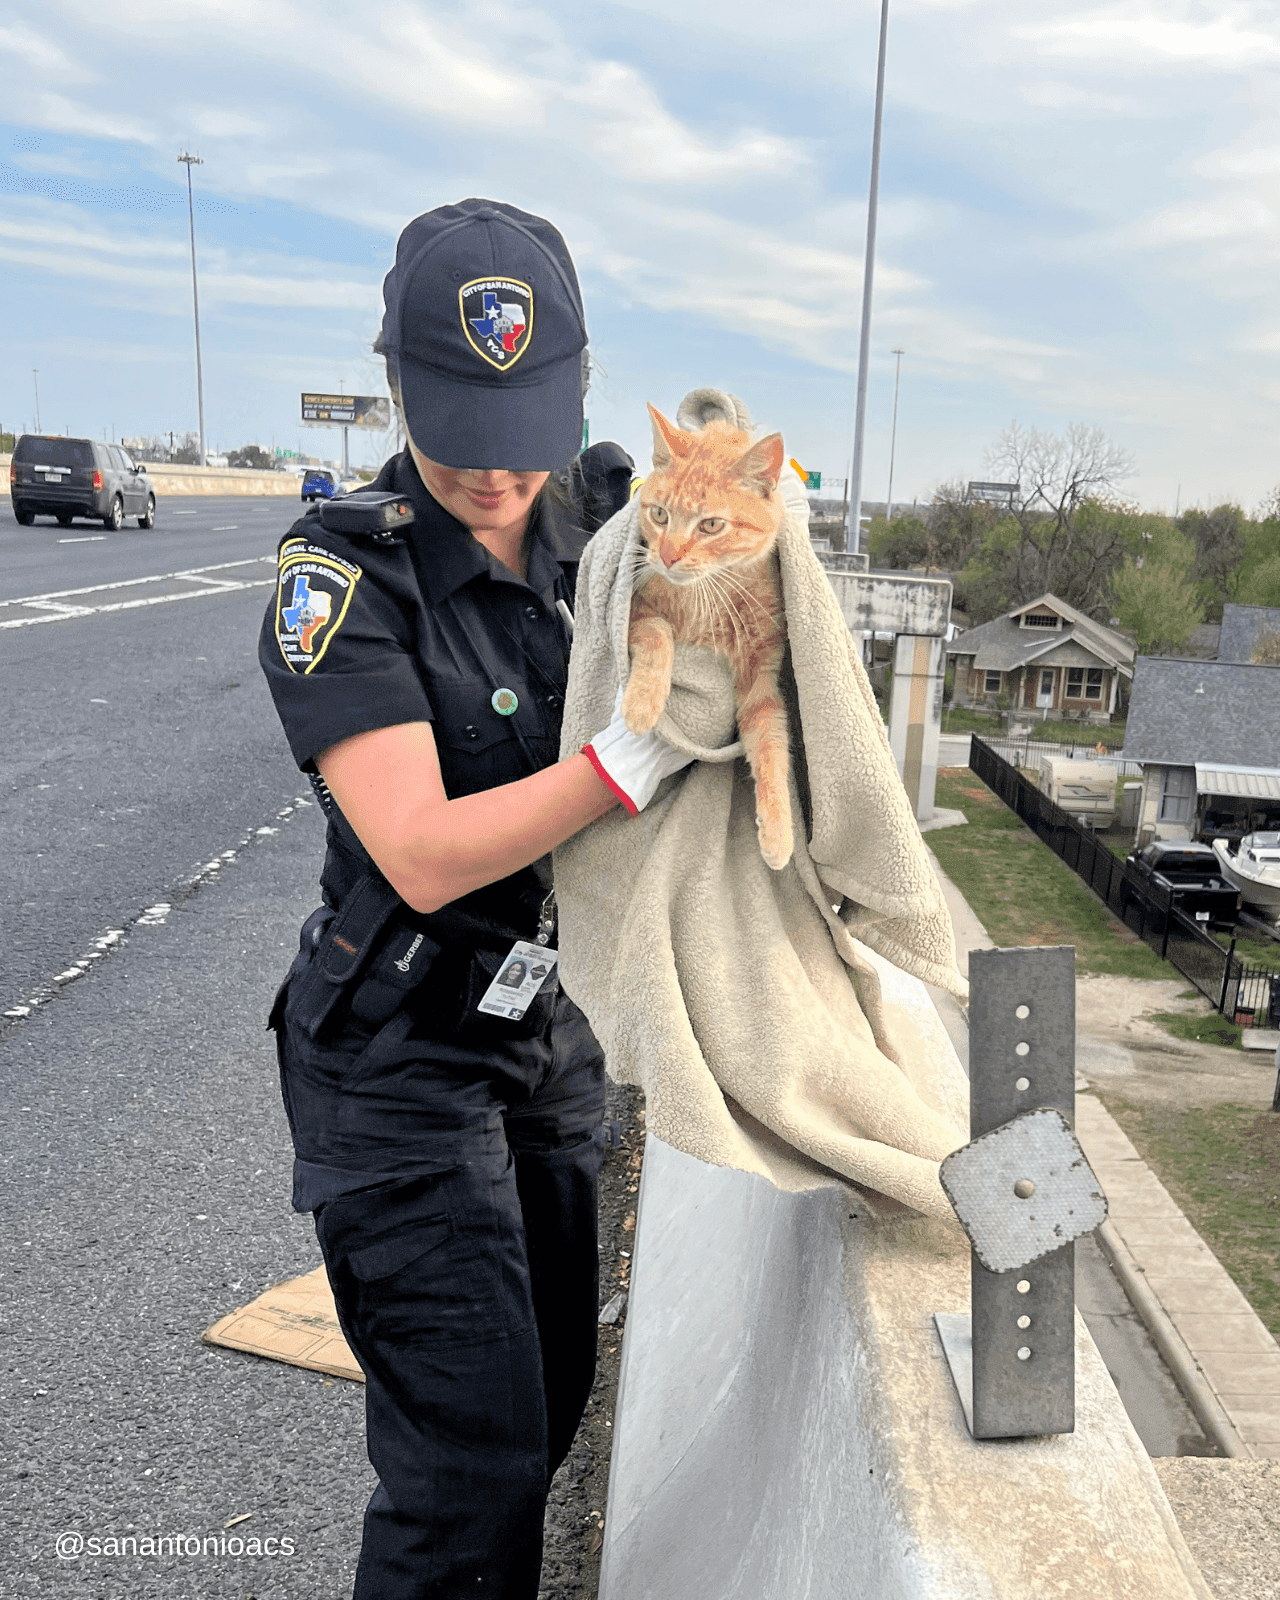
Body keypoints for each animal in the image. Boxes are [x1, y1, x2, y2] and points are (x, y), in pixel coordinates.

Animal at [624, 406, 793, 870]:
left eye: (712, 525)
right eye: (659, 515)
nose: (667, 556)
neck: (708, 595)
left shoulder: (761, 678)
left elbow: (771, 745)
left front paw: (778, 830)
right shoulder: (637, 608)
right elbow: (658, 631)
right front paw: (642, 703)